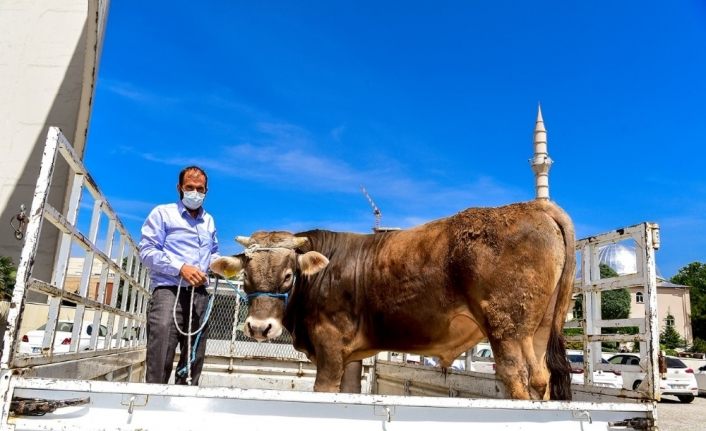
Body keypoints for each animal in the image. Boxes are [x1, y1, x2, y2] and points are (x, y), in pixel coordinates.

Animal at [209, 201, 572, 400]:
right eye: (246, 274)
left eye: (288, 275)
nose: (259, 328)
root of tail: (533, 206)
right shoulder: (350, 356)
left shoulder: (329, 346)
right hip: (538, 329)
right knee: (540, 378)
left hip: (506, 329)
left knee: (516, 377)